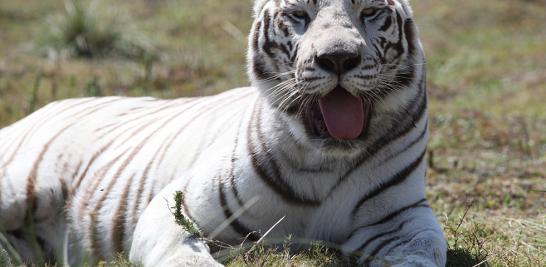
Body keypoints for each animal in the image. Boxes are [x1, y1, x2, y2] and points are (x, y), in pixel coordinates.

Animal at [0, 0, 444, 266]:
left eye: (369, 11)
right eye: (299, 15)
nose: (337, 58)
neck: (324, 160)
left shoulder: (401, 219)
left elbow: (422, 251)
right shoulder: (177, 208)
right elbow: (184, 254)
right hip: (22, 188)